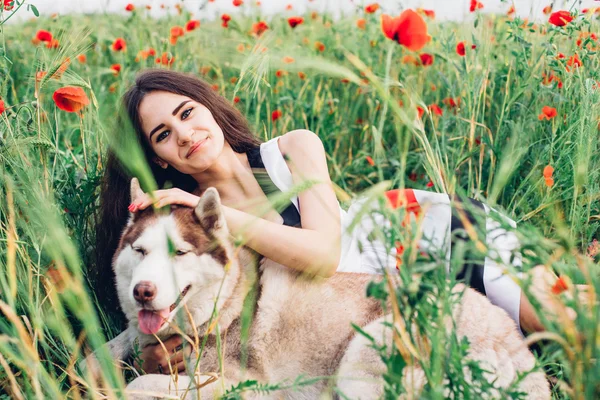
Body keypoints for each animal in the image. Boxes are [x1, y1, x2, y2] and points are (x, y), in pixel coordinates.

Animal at [82, 180, 552, 398]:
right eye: (140, 250)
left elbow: (136, 386)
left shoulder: (230, 380)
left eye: (178, 252)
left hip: (367, 351)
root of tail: (520, 355)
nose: (143, 291)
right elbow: (93, 358)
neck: (227, 303)